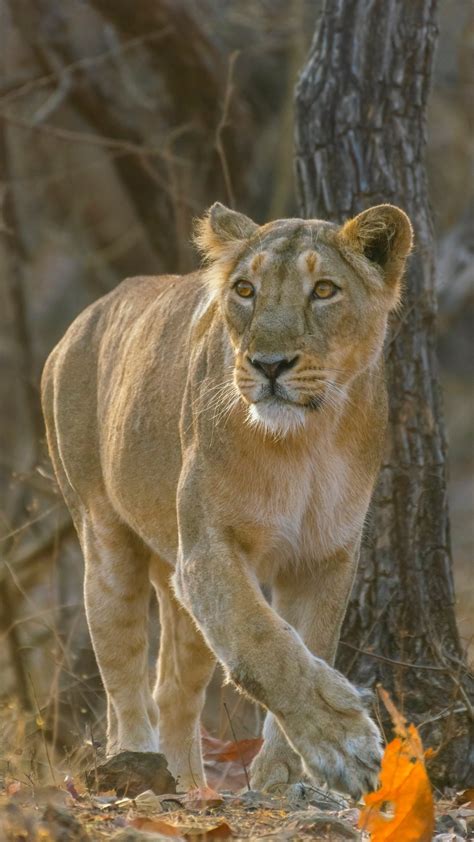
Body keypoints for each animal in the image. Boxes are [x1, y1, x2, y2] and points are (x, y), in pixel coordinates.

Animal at [41, 202, 412, 797]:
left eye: (324, 290)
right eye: (244, 290)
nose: (269, 364)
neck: (305, 443)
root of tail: (81, 320)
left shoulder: (324, 557)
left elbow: (309, 641)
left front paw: (281, 775)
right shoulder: (208, 549)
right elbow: (262, 642)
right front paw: (343, 744)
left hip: (174, 576)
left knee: (174, 688)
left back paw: (189, 785)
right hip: (104, 541)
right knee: (124, 681)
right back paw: (134, 763)